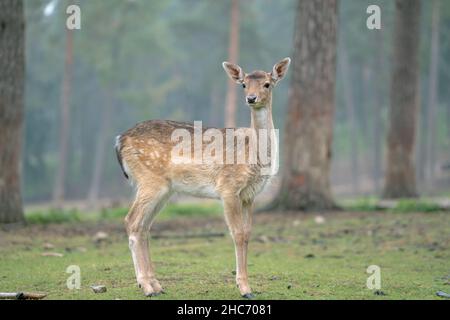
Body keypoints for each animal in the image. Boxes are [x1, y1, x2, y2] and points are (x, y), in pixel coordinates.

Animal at [115, 57, 292, 298]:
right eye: (243, 84)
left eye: (267, 84)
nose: (251, 98)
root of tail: (119, 141)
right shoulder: (228, 187)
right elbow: (237, 234)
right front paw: (244, 288)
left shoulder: (250, 195)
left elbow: (247, 234)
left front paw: (247, 285)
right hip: (150, 180)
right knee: (131, 221)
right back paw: (146, 287)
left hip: (164, 190)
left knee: (144, 226)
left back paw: (157, 285)